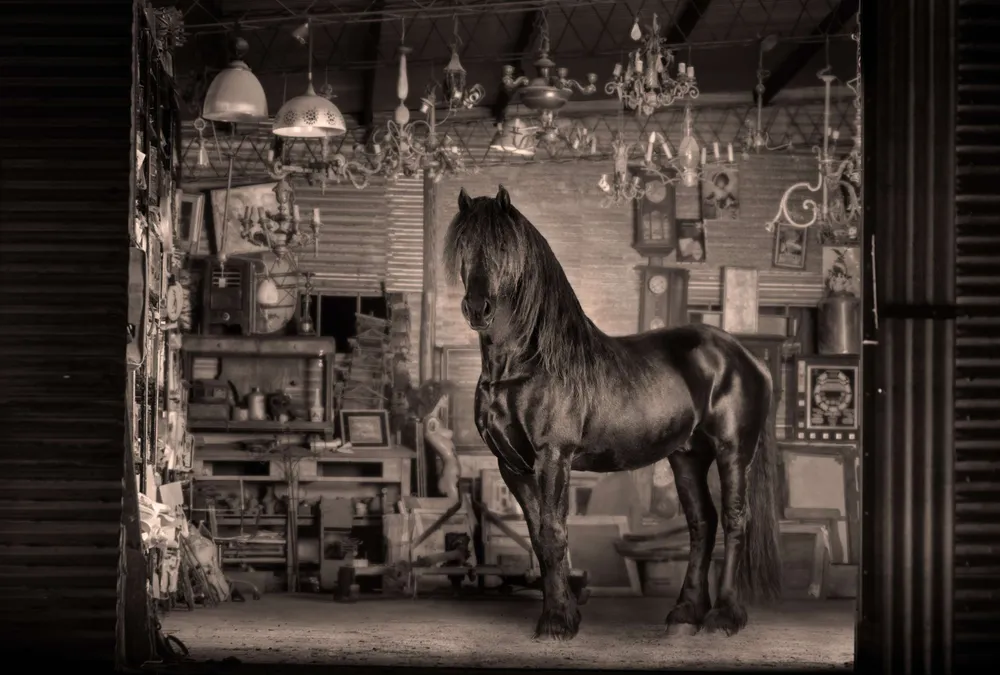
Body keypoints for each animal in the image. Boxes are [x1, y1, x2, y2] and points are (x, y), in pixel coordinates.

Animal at [442, 185, 783, 641]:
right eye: (463, 246)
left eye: (503, 247)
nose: (478, 308)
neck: (525, 365)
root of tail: (746, 356)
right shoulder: (511, 466)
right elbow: (539, 539)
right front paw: (564, 614)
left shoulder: (554, 457)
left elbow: (553, 533)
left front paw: (556, 622)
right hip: (688, 456)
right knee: (702, 523)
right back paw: (685, 614)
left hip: (732, 451)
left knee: (734, 521)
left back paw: (724, 618)